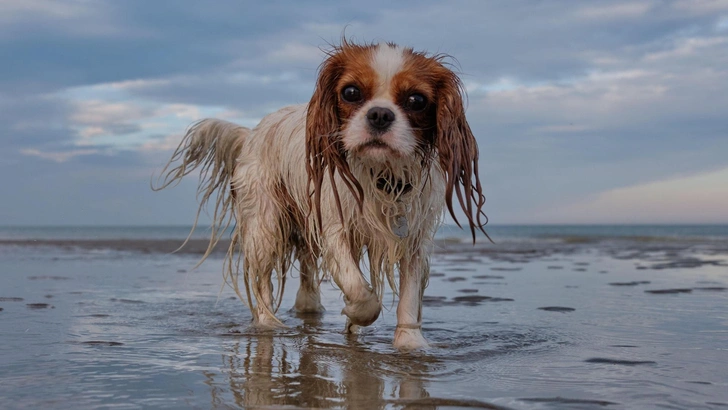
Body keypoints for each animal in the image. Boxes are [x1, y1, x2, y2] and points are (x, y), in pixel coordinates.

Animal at [156, 40, 486, 350]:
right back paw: (268, 325)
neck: (381, 174)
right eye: (351, 92)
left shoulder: (414, 239)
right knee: (263, 283)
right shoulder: (336, 230)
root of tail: (251, 134)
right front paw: (356, 313)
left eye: (416, 100)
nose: (380, 114)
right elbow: (360, 290)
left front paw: (410, 344)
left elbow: (409, 297)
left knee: (306, 268)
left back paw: (309, 308)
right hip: (265, 226)